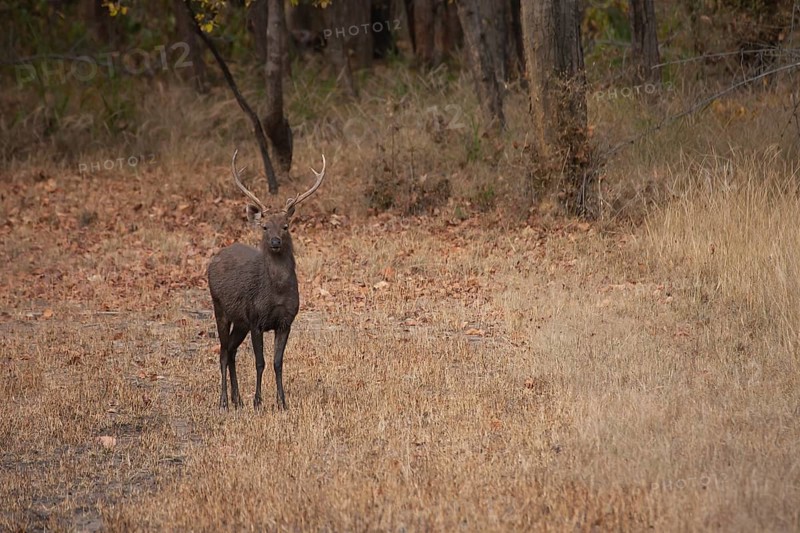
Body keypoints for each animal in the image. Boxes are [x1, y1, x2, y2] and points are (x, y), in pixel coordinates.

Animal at [208, 148, 326, 410]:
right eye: (264, 226)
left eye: (286, 226)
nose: (275, 241)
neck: (276, 293)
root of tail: (214, 259)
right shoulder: (256, 319)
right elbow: (259, 362)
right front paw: (258, 401)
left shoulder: (286, 321)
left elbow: (277, 363)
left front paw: (282, 402)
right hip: (219, 307)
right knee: (223, 352)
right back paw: (224, 402)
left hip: (239, 320)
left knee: (231, 351)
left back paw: (237, 399)